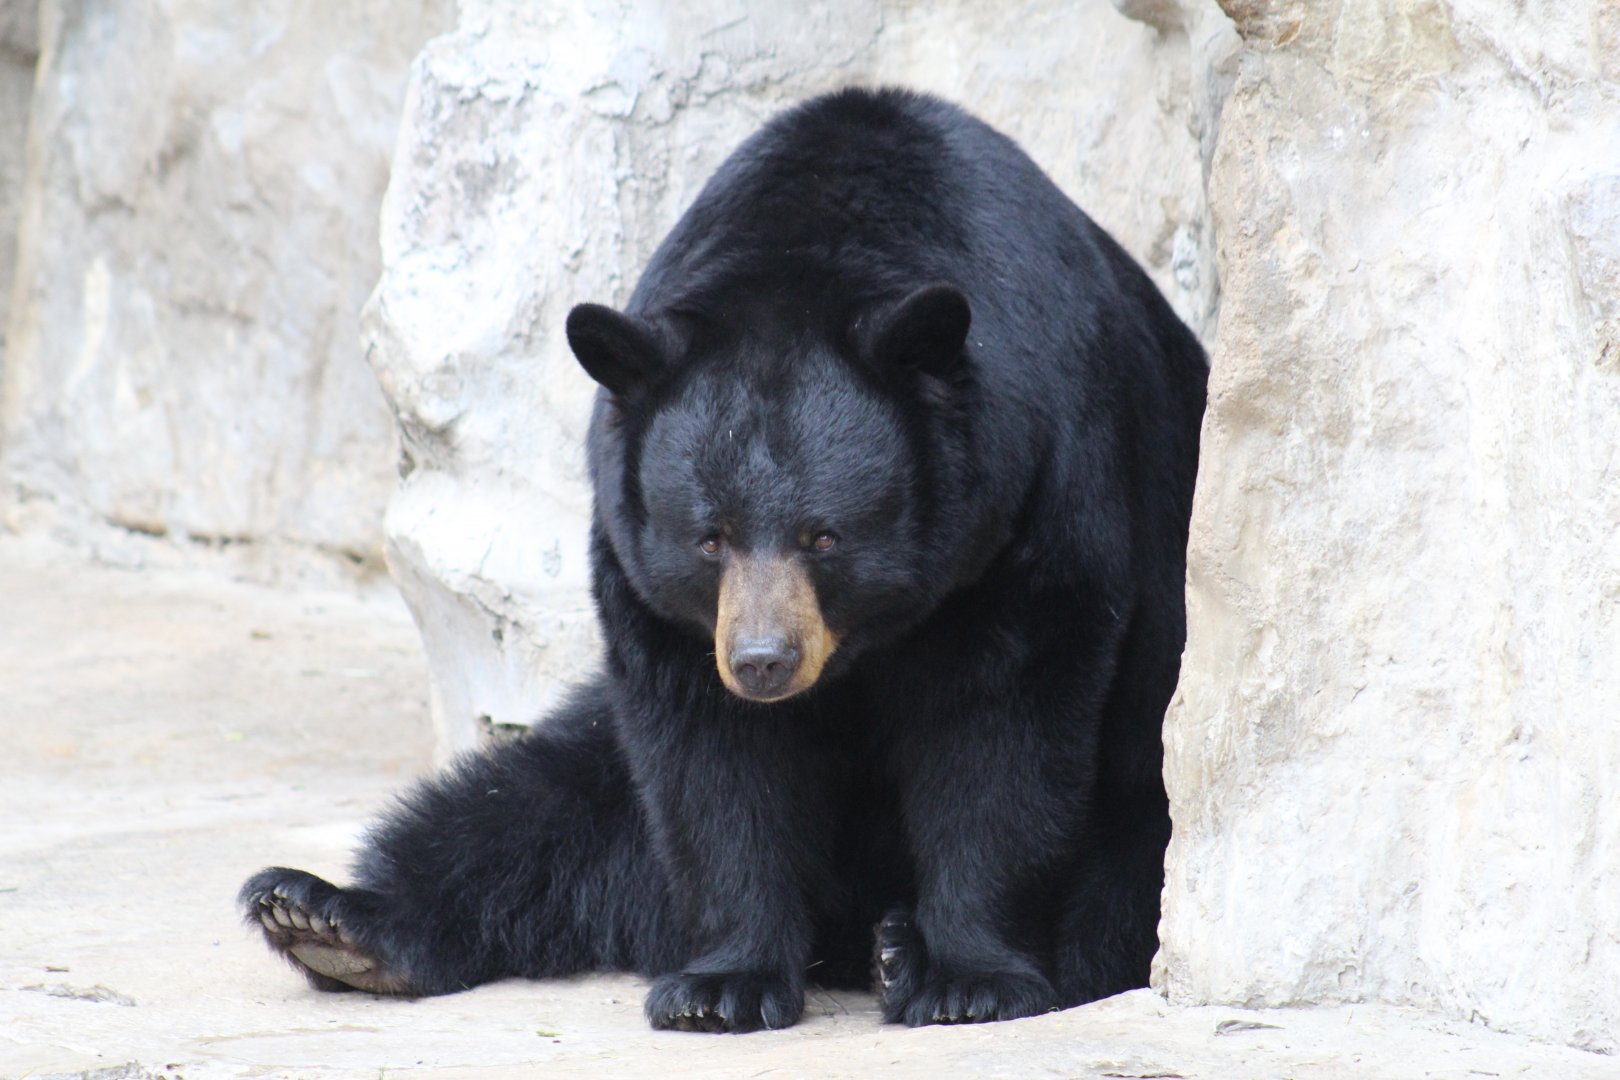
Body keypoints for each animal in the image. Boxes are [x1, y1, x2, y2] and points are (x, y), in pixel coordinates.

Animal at [239, 87, 1207, 1033]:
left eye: (826, 535)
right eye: (709, 537)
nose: (763, 662)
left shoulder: (1036, 498)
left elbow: (1004, 727)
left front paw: (969, 979)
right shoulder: (647, 580)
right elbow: (706, 759)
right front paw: (721, 984)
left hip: (1152, 771)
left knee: (1129, 880)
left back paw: (902, 950)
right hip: (600, 781)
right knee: (528, 808)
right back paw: (328, 918)